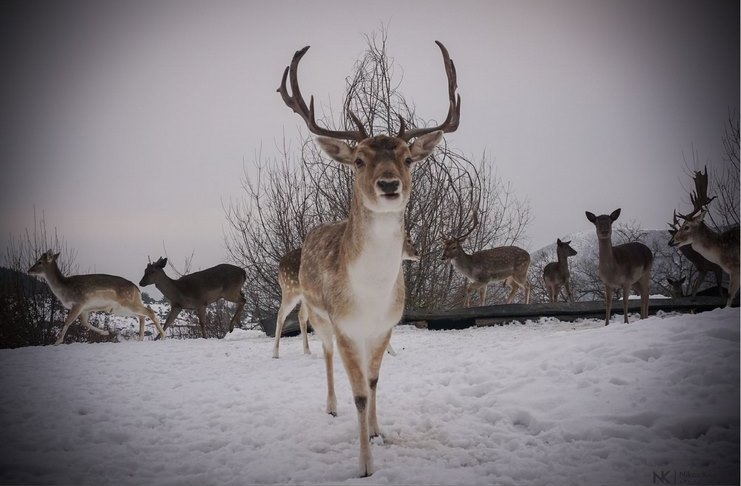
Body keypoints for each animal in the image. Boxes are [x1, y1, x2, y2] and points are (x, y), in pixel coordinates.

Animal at [28, 251, 165, 346]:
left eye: (39, 262)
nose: (29, 270)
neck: (64, 290)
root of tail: (137, 289)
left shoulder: (79, 302)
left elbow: (68, 321)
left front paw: (57, 341)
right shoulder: (85, 309)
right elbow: (84, 322)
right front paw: (105, 332)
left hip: (127, 303)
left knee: (149, 311)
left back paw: (163, 336)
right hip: (123, 308)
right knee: (141, 316)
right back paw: (140, 338)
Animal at [272, 237, 420, 358]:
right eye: (408, 240)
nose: (417, 253)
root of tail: (279, 266)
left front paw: (390, 352)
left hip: (305, 297)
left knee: (301, 316)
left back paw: (307, 351)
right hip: (289, 289)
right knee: (281, 314)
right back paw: (275, 353)